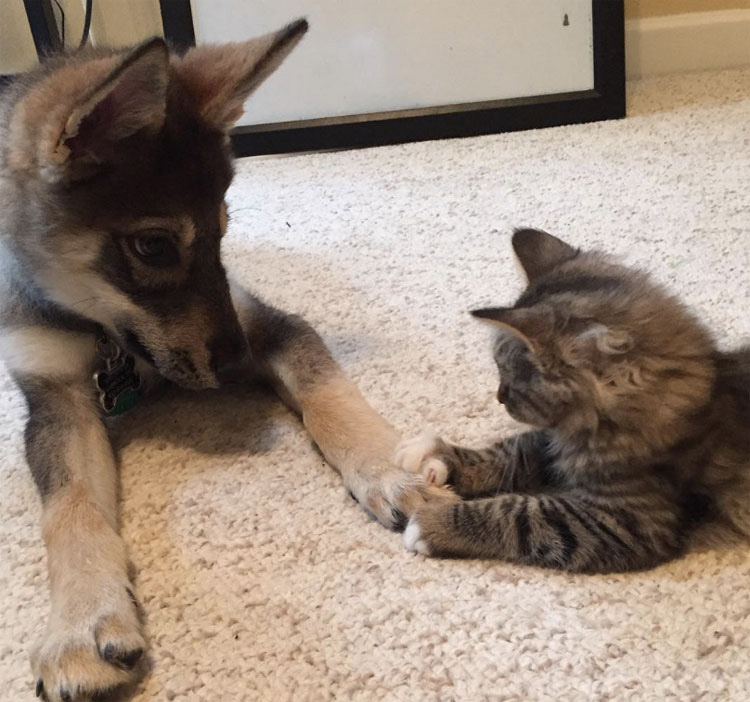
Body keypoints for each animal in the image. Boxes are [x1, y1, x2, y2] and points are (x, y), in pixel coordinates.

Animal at [0, 20, 446, 702]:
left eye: (221, 231)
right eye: (154, 246)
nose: (237, 366)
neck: (102, 327)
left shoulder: (271, 326)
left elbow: (331, 397)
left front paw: (391, 469)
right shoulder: (54, 397)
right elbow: (69, 510)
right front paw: (80, 628)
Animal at [396, 228, 748, 576]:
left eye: (507, 374)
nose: (498, 397)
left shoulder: (627, 519)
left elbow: (518, 512)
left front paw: (431, 523)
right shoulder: (553, 446)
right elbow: (510, 452)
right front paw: (433, 455)